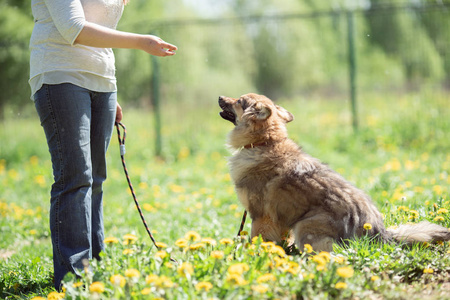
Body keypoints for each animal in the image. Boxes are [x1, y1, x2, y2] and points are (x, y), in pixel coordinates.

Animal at [219, 92, 450, 252]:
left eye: (239, 100)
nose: (220, 97)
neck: (264, 143)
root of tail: (378, 234)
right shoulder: (280, 219)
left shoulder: (261, 216)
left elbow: (257, 239)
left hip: (305, 225)